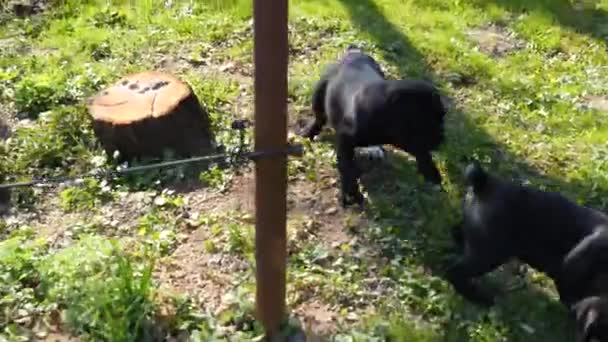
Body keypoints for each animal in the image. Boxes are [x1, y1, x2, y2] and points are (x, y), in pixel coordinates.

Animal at [300, 45, 446, 206]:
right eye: (426, 121)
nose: (442, 136)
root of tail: (353, 51)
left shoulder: (411, 141)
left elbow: (423, 153)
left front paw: (431, 172)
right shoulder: (345, 140)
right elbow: (347, 167)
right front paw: (351, 192)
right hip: (319, 93)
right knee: (319, 117)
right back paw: (309, 131)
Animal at [446, 161, 608, 342]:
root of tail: (486, 183)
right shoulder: (571, 269)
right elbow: (569, 295)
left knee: (456, 236)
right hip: (490, 255)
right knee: (454, 271)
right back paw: (481, 297)